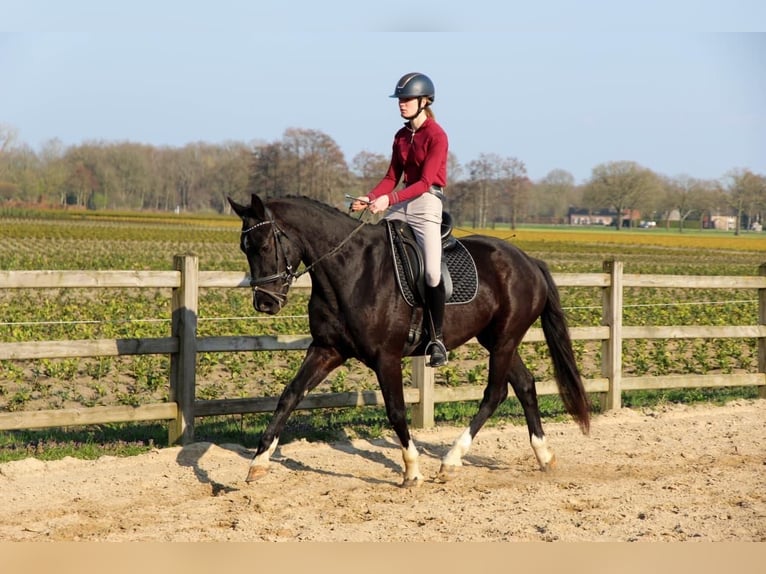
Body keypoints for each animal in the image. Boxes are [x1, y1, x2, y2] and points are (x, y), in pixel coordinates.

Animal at [227, 193, 590, 487]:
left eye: (264, 245)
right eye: (244, 248)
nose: (265, 303)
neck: (350, 270)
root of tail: (528, 261)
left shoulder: (385, 358)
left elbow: (397, 410)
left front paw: (412, 471)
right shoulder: (327, 350)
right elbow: (289, 396)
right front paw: (258, 464)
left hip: (504, 341)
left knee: (495, 393)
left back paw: (450, 461)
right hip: (498, 340)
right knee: (525, 385)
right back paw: (544, 456)